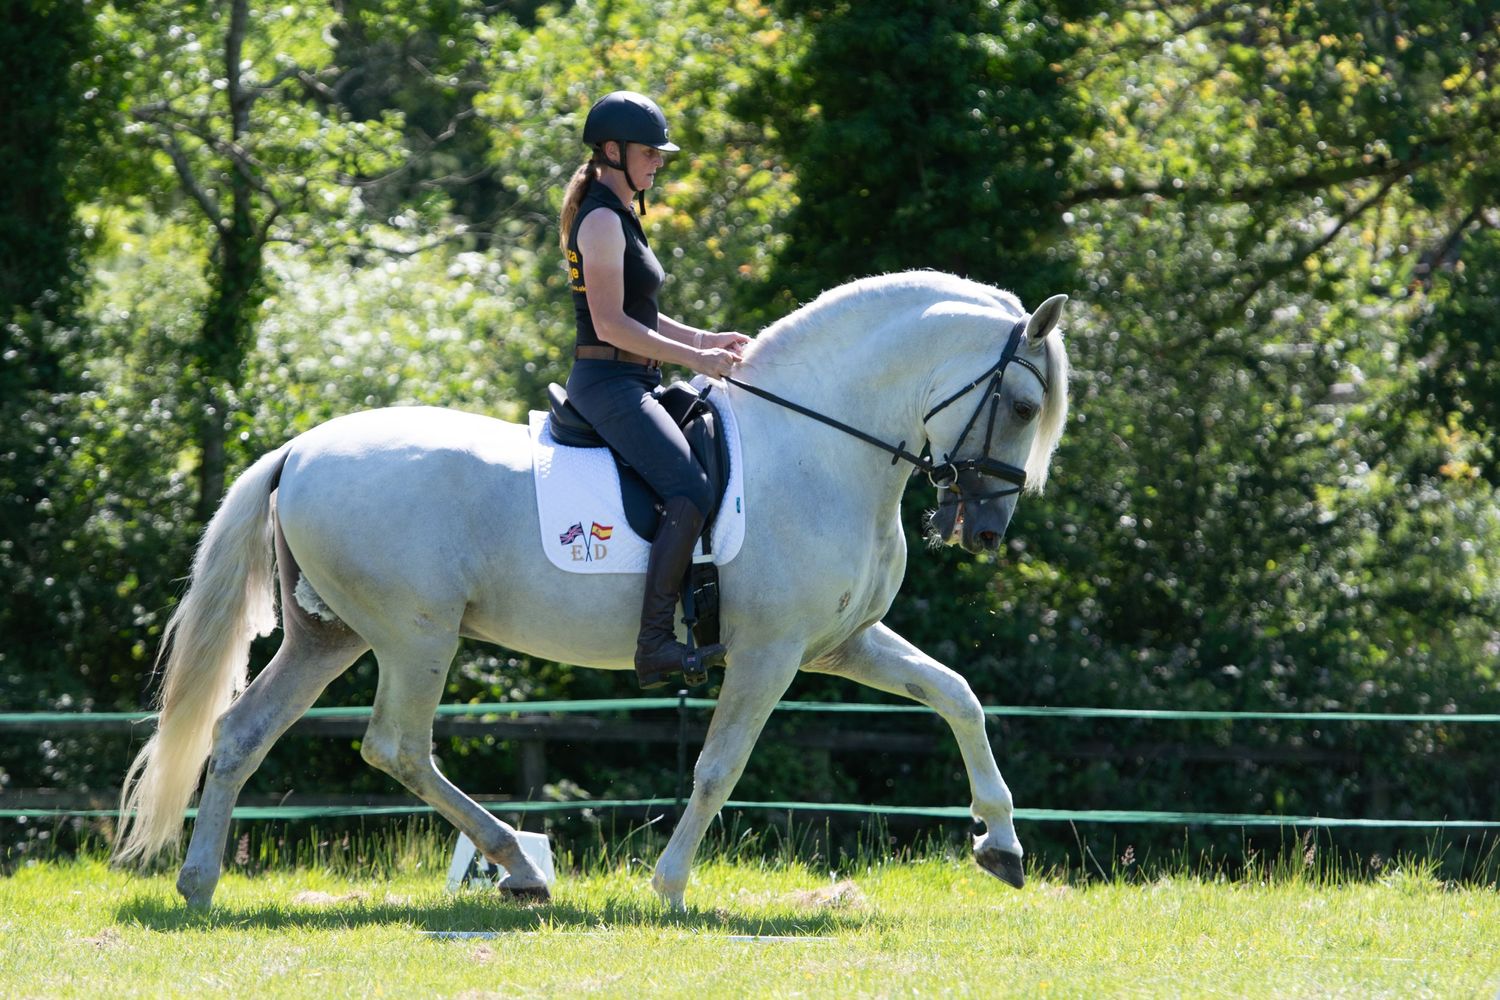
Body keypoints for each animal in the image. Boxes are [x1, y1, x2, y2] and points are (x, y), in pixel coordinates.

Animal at [113, 270, 1070, 909]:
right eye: (1025, 407)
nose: (986, 532)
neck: (820, 445)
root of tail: (299, 449)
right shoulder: (768, 653)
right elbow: (719, 767)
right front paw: (672, 886)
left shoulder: (839, 644)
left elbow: (957, 696)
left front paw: (1001, 843)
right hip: (415, 635)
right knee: (396, 746)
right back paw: (518, 864)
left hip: (330, 636)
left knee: (243, 732)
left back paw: (199, 883)